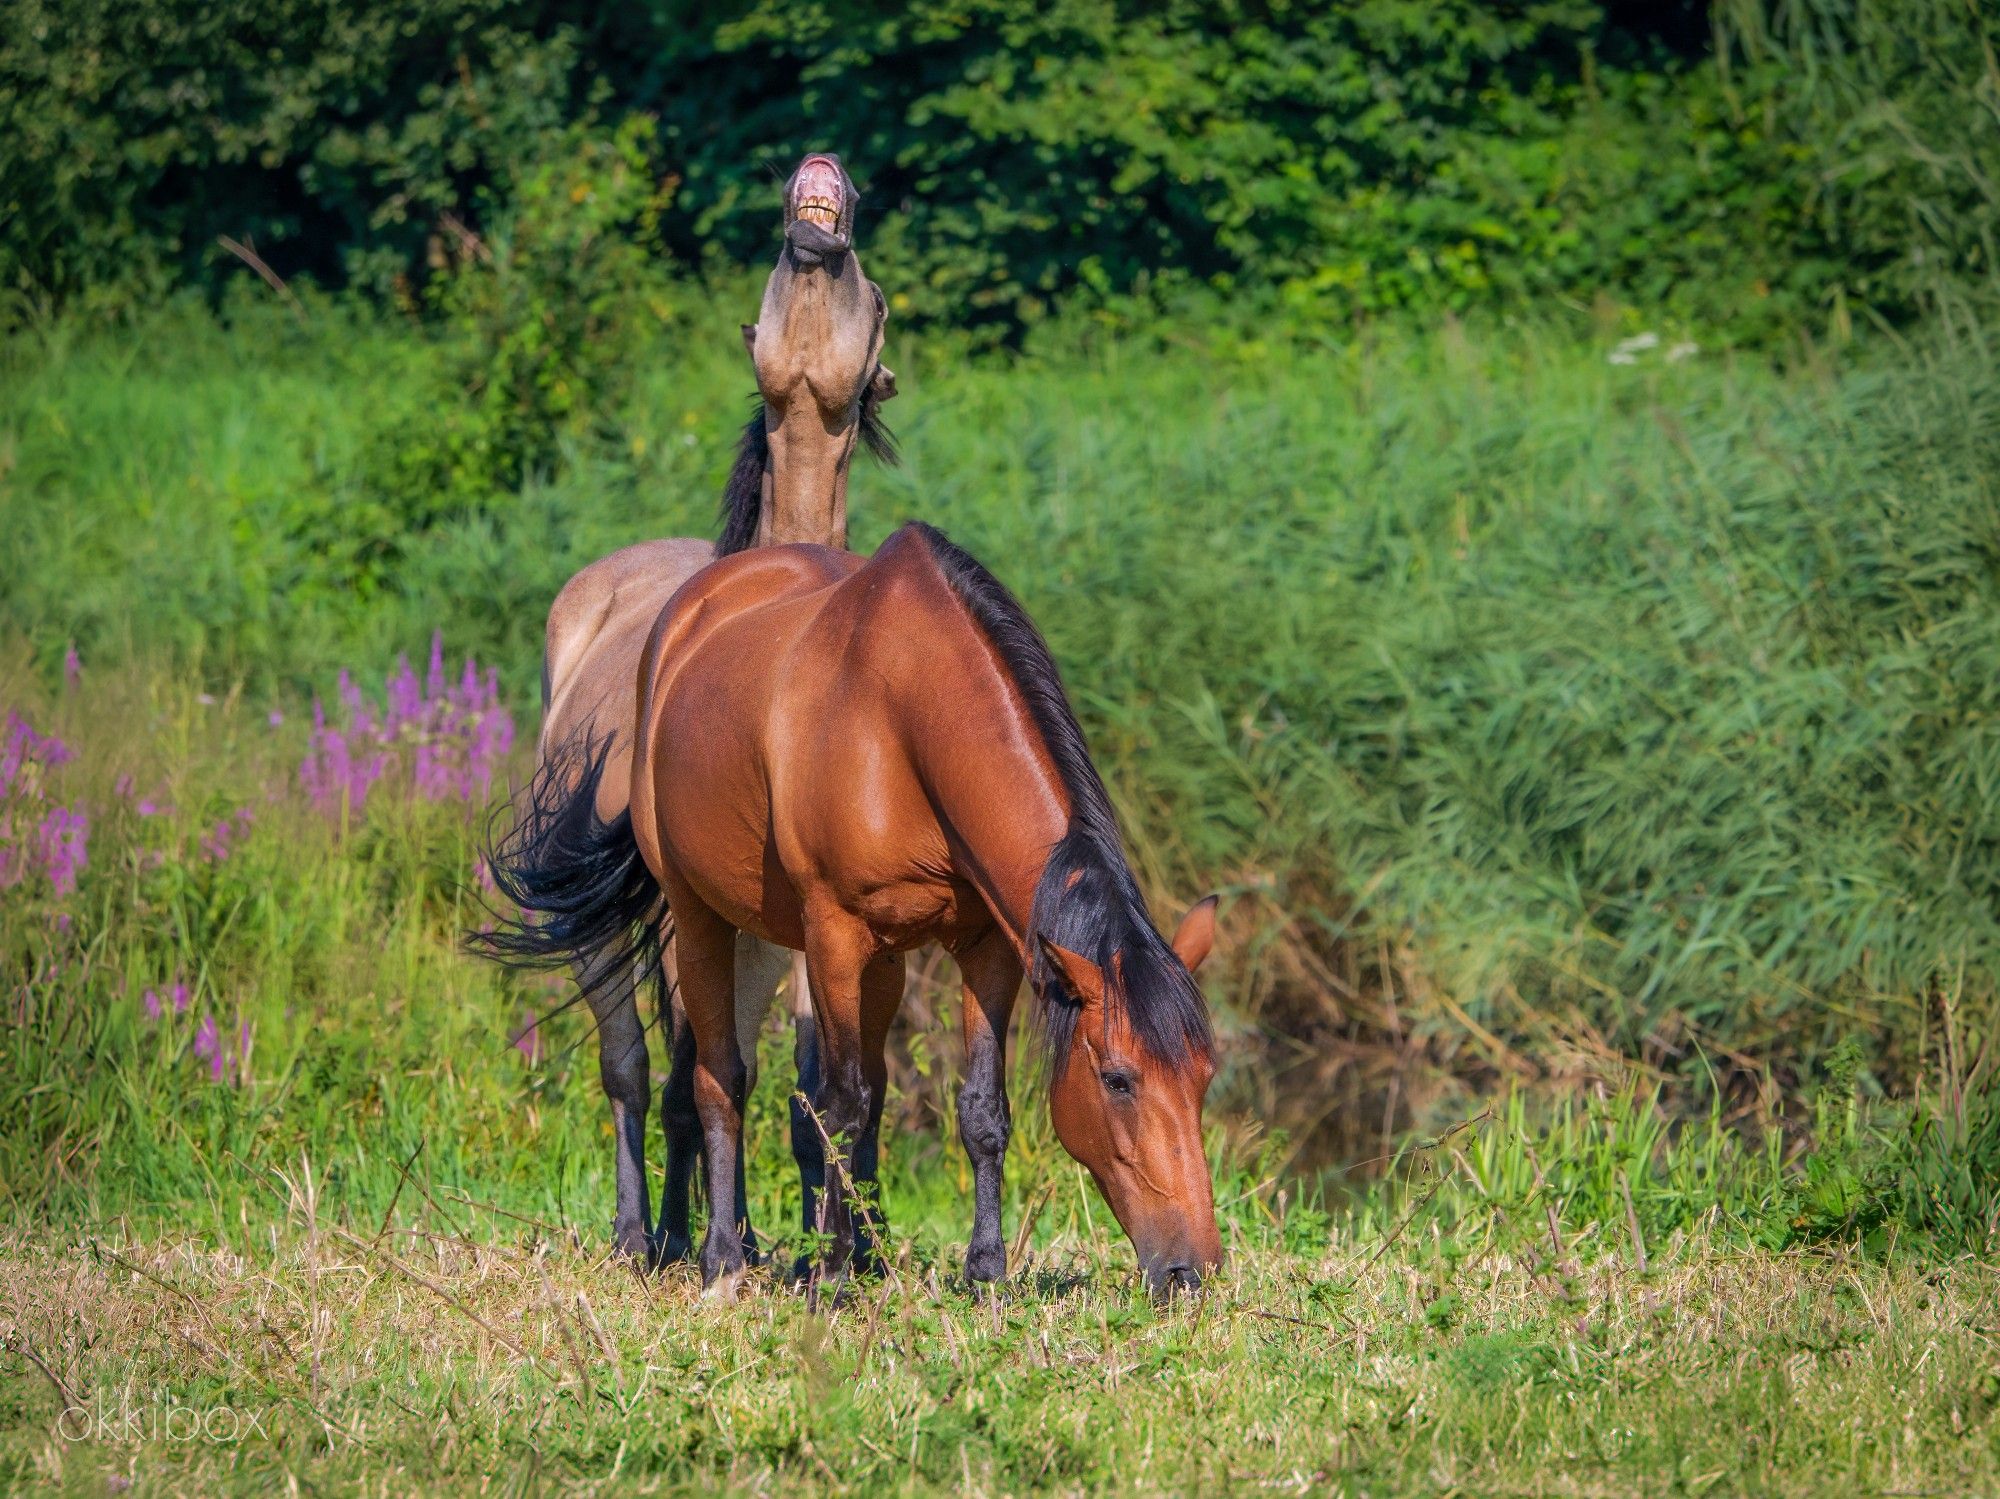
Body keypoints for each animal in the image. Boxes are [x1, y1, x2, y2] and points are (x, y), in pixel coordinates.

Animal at [492, 527, 1224, 1303]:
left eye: (1204, 1075)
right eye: (1117, 1079)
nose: (1192, 1270)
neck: (905, 718)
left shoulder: (985, 945)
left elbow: (978, 1110)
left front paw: (983, 1272)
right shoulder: (834, 936)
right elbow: (838, 1104)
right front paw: (831, 1275)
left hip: (820, 948)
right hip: (697, 919)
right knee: (705, 1077)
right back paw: (708, 1255)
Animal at [524, 152, 892, 1271]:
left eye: (876, 295)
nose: (821, 179)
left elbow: (818, 1091)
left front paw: (842, 1243)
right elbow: (691, 1069)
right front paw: (720, 1240)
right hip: (608, 920)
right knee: (634, 1067)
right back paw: (645, 1232)